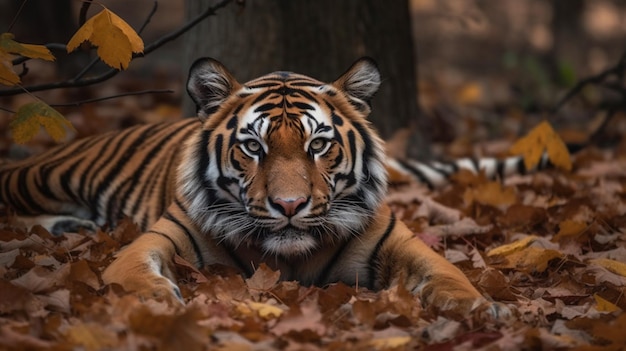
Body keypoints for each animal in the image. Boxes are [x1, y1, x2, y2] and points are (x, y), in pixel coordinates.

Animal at [0, 57, 516, 322]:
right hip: (44, 175)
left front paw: (483, 308)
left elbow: (448, 274)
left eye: (318, 144)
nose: (289, 205)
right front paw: (157, 302)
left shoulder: (401, 243)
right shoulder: (154, 240)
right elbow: (133, 271)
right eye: (253, 146)